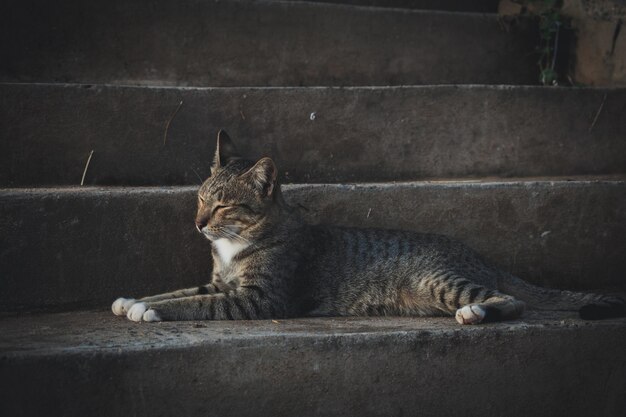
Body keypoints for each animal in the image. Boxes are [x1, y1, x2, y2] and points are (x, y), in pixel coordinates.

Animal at [109, 131, 620, 324]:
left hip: (436, 280)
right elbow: (180, 291)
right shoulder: (218, 281)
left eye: (223, 206)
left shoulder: (259, 298)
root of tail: (479, 256)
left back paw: (476, 313)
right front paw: (132, 300)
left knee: (511, 300)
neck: (233, 247)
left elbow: (196, 304)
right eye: (199, 198)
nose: (197, 223)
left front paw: (147, 310)